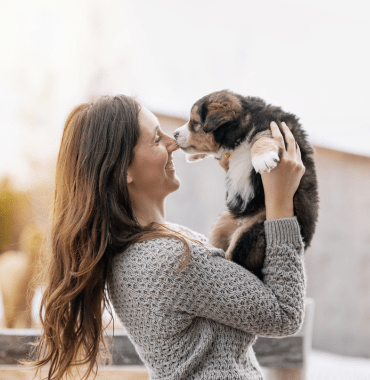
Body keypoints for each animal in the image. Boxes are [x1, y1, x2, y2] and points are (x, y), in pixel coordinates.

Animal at [173, 89, 318, 280]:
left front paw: (263, 158)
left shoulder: (276, 128)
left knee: (240, 261)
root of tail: (241, 222)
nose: (174, 134)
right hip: (222, 224)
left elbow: (261, 138)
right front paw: (193, 156)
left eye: (195, 123)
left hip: (253, 230)